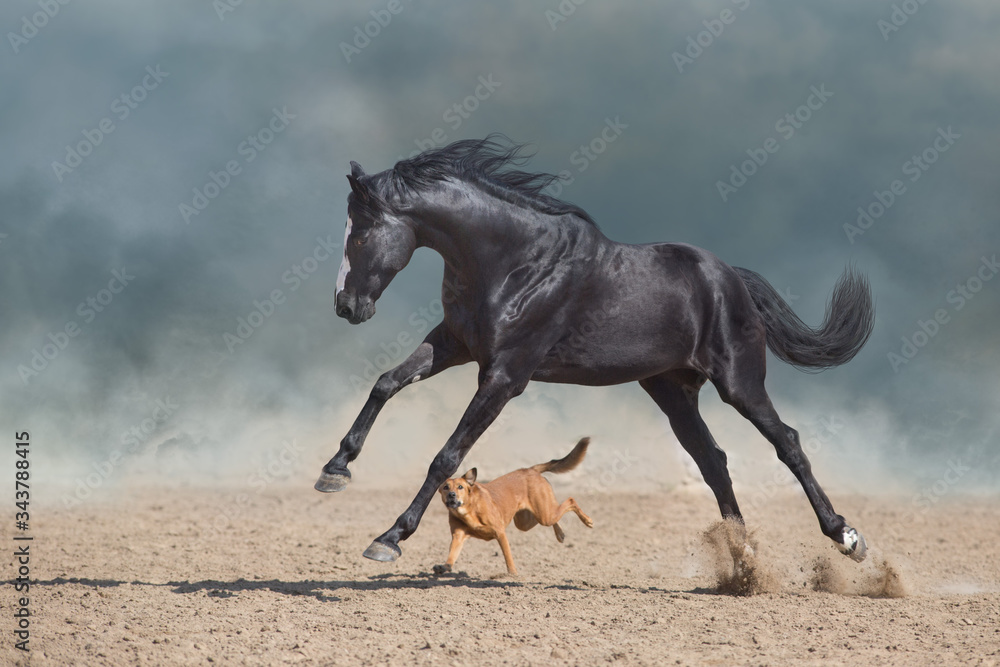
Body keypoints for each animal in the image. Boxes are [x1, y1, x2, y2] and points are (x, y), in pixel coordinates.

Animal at [432, 438, 592, 576]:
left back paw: (588, 521)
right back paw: (560, 534)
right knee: (555, 514)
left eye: (460, 487)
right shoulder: (458, 536)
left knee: (570, 501)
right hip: (528, 521)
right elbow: (452, 555)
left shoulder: (500, 533)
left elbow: (508, 556)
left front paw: (513, 575)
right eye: (446, 487)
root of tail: (531, 470)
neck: (469, 510)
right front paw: (444, 567)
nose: (451, 495)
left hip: (543, 515)